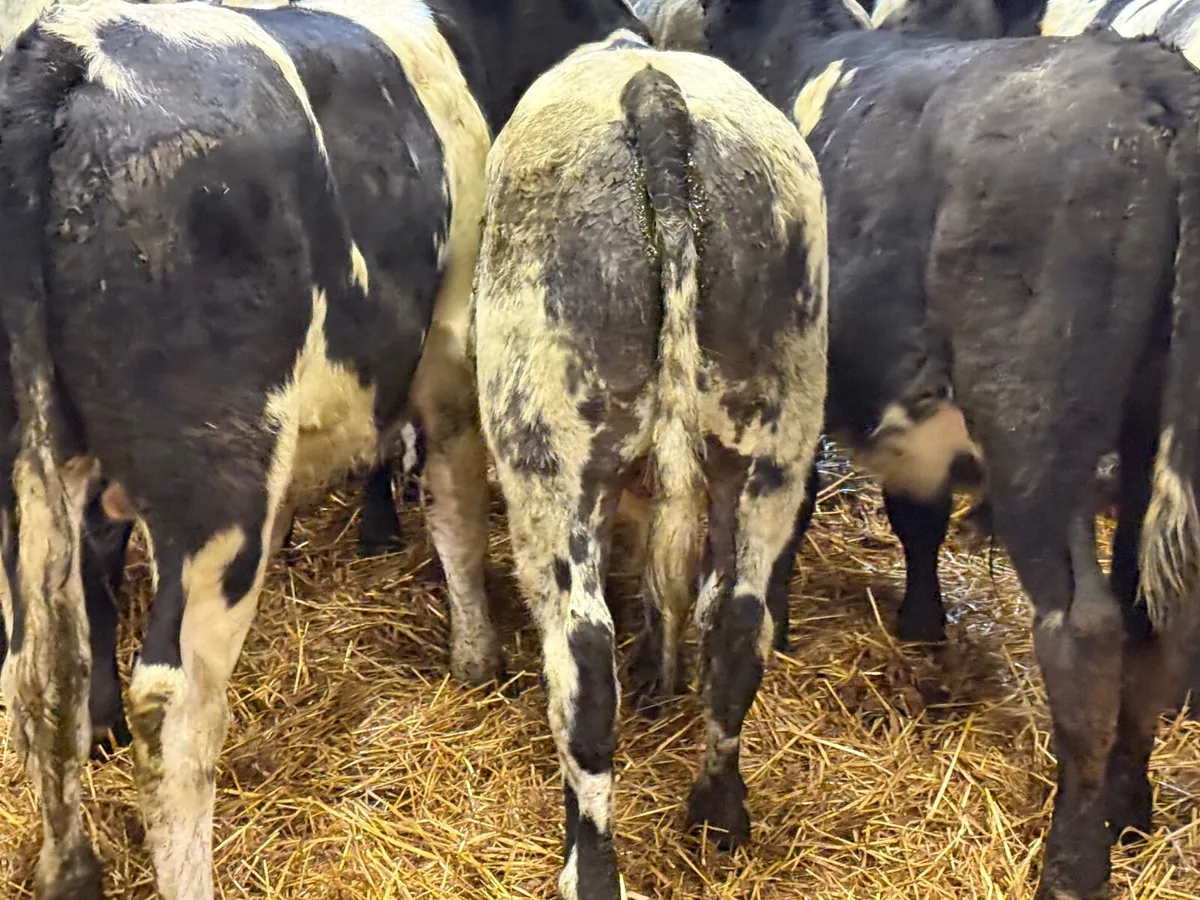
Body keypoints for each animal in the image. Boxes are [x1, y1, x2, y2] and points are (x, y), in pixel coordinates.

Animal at [0, 1, 649, 898]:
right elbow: (456, 513)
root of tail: (66, 52)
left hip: (30, 480)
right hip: (218, 485)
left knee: (37, 674)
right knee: (172, 703)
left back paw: (68, 868)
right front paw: (476, 657)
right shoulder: (448, 360)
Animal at [474, 27, 828, 898]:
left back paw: (592, 866)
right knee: (738, 624)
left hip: (547, 456)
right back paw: (719, 813)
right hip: (773, 443)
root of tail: (652, 88)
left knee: (582, 661)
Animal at [643, 1, 1200, 897]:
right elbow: (917, 517)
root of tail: (1147, 76)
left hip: (1034, 424)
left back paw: (1074, 861)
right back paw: (1130, 807)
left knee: (1084, 629)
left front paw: (787, 623)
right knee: (1157, 617)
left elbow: (792, 525)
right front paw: (922, 623)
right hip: (1153, 433)